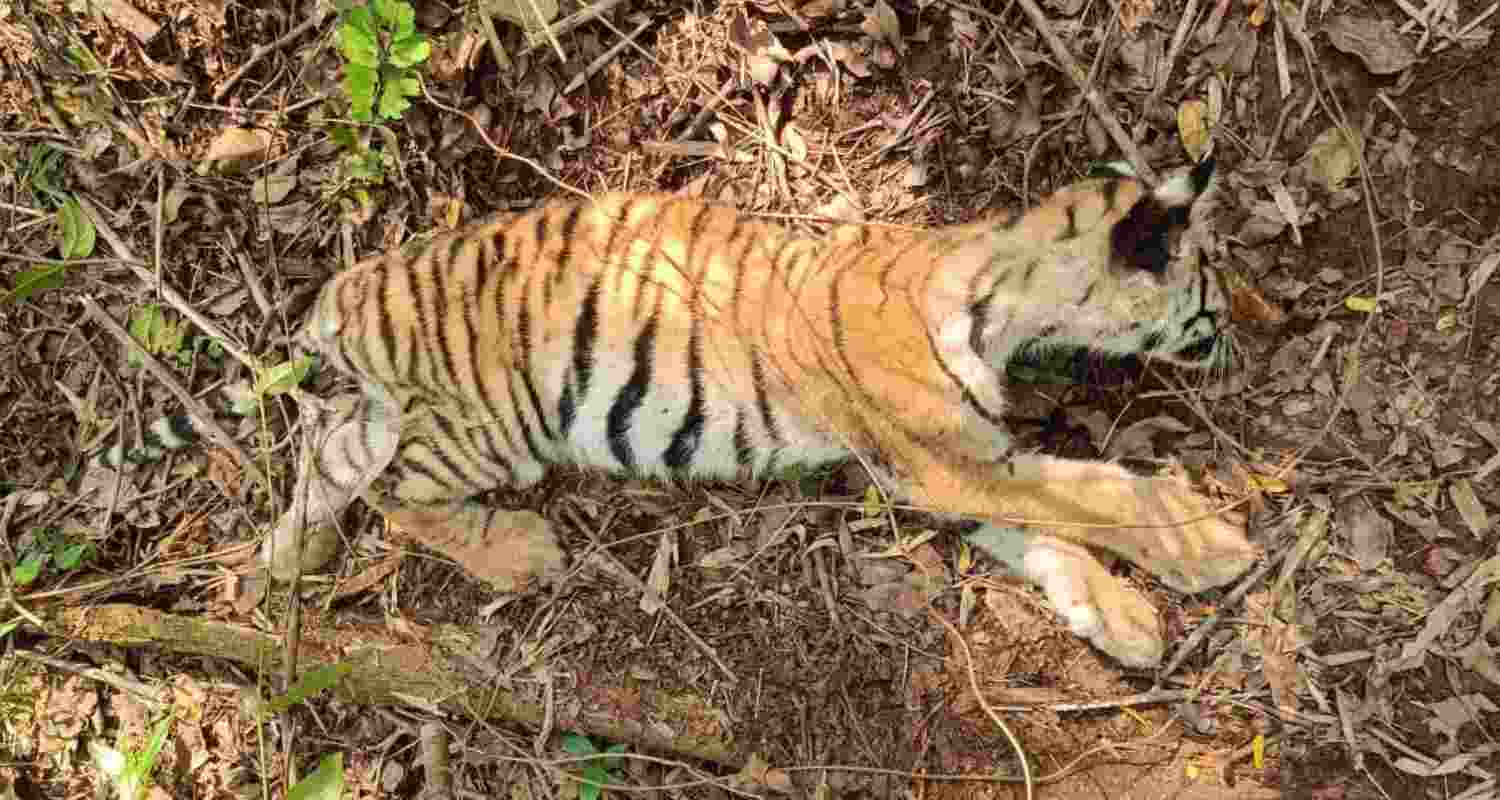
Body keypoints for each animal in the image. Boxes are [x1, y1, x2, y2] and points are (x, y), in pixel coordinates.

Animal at [259, 157, 1258, 669]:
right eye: (1211, 275)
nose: (1251, 323)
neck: (1009, 293)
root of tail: (358, 287)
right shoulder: (948, 459)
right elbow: (1096, 491)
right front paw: (1211, 543)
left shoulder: (943, 469)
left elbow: (1048, 537)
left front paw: (1120, 622)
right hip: (494, 424)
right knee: (395, 491)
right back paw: (517, 552)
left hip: (403, 414)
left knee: (329, 447)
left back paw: (281, 559)